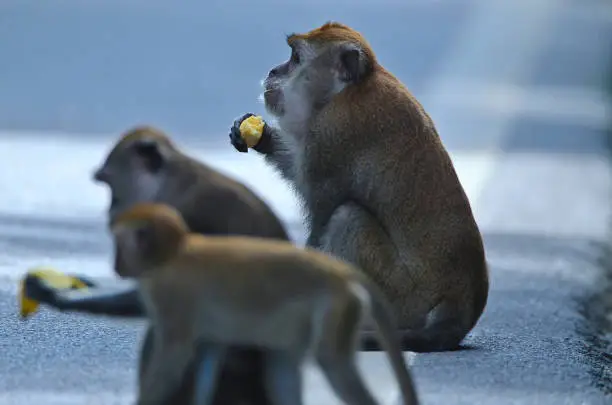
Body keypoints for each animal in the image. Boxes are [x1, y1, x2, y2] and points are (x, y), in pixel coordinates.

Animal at [111, 204, 420, 404]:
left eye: (118, 244)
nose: (116, 264)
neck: (170, 254)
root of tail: (340, 272)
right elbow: (208, 350)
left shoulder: (170, 296)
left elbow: (174, 356)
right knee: (283, 364)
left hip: (335, 308)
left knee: (331, 361)